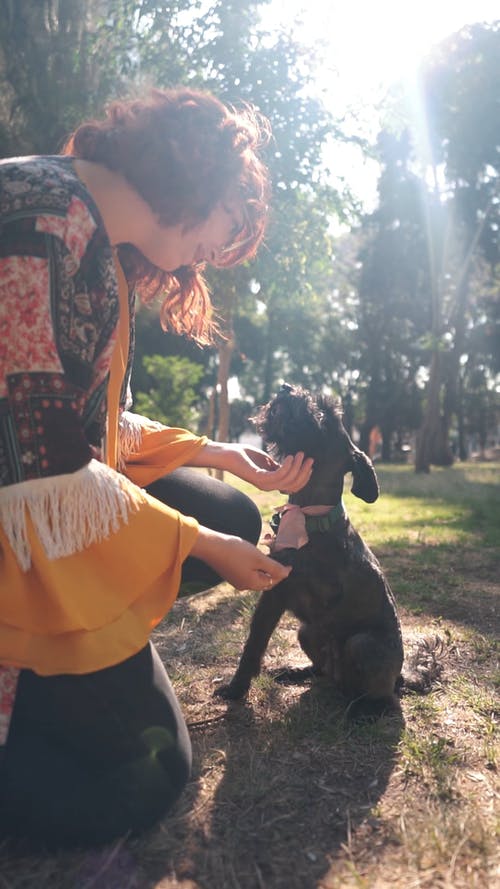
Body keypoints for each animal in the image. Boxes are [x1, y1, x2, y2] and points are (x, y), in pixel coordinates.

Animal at [218, 386, 406, 720]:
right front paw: (236, 688)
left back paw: (361, 710)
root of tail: (400, 678)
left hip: (362, 644)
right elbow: (254, 643)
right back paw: (296, 672)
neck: (309, 519)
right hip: (304, 633)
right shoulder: (273, 593)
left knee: (381, 696)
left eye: (326, 416)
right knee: (324, 671)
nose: (285, 388)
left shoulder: (319, 601)